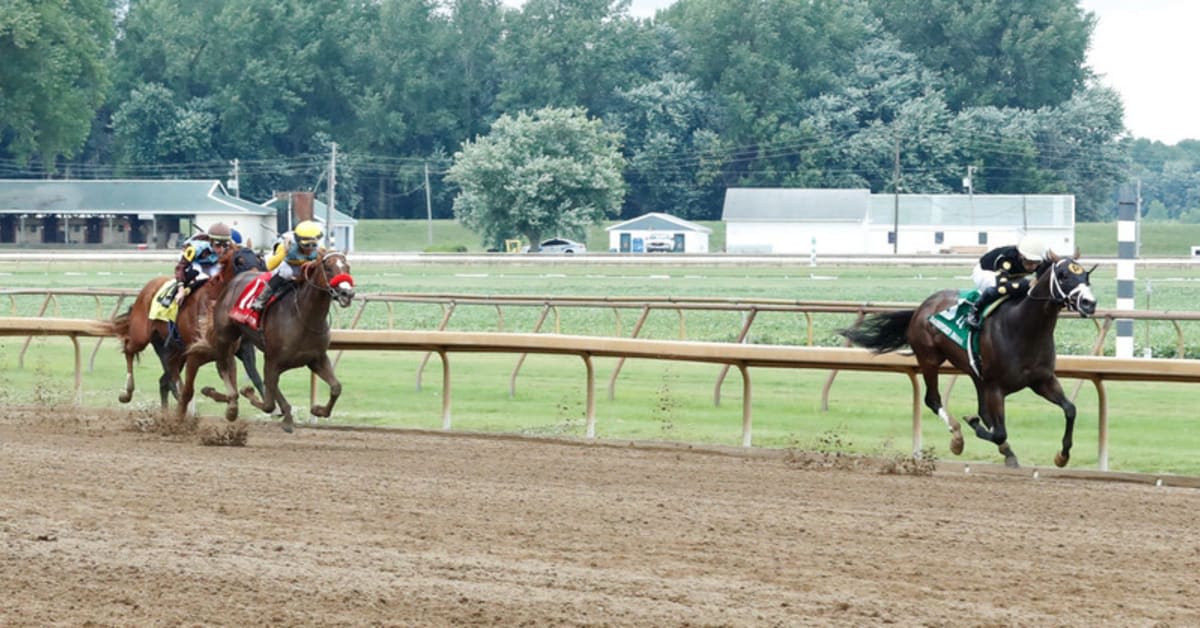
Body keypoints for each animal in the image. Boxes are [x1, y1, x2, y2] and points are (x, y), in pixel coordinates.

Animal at [111, 248, 267, 410]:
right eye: (240, 262)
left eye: (259, 261)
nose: (259, 280)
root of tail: (147, 288)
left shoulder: (234, 350)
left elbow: (247, 382)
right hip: (141, 336)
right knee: (129, 349)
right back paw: (127, 393)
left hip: (172, 350)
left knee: (166, 379)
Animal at [177, 250, 355, 432]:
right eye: (328, 268)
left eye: (347, 267)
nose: (347, 294)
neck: (304, 317)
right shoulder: (272, 361)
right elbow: (270, 398)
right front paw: (286, 418)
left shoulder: (316, 359)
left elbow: (336, 388)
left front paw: (318, 410)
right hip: (224, 336)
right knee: (222, 366)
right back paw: (229, 405)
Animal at [835, 254, 1099, 465]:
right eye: (1063, 276)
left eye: (1086, 276)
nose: (1089, 303)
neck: (1024, 328)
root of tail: (922, 306)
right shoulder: (996, 387)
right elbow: (999, 431)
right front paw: (971, 425)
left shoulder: (1042, 381)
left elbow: (1070, 409)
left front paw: (1062, 456)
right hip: (929, 359)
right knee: (933, 400)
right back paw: (957, 436)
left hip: (975, 373)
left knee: (982, 410)